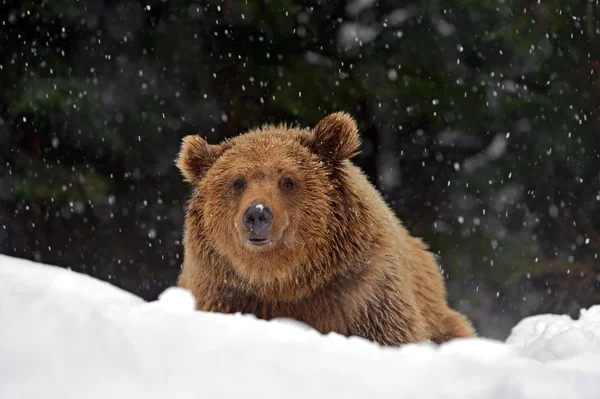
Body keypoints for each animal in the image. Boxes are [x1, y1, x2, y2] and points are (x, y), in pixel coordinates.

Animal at [176, 112, 476, 346]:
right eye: (237, 182)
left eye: (288, 181)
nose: (257, 214)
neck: (283, 282)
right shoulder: (224, 296)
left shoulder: (365, 296)